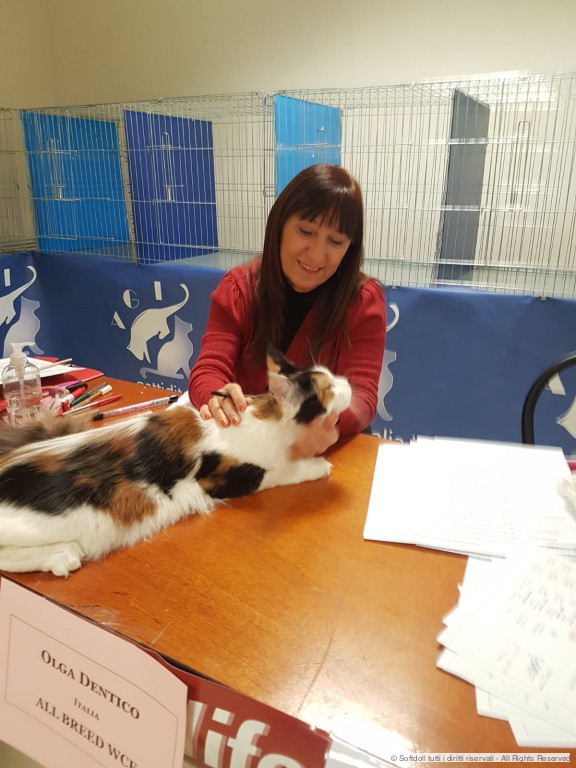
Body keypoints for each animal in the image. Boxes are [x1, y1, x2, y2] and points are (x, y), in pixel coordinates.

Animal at [0, 347, 351, 577]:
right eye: (330, 388)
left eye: (332, 376)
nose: (348, 382)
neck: (265, 416)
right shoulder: (228, 478)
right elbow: (284, 470)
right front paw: (317, 464)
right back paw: (61, 557)